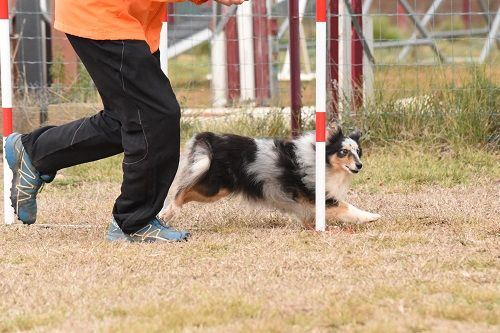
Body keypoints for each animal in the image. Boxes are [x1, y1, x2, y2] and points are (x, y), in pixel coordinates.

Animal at [160, 127, 378, 228]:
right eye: (343, 152)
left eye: (358, 151)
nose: (359, 165)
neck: (320, 158)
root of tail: (212, 138)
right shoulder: (319, 196)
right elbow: (348, 208)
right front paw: (372, 216)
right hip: (214, 188)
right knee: (181, 190)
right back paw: (168, 212)